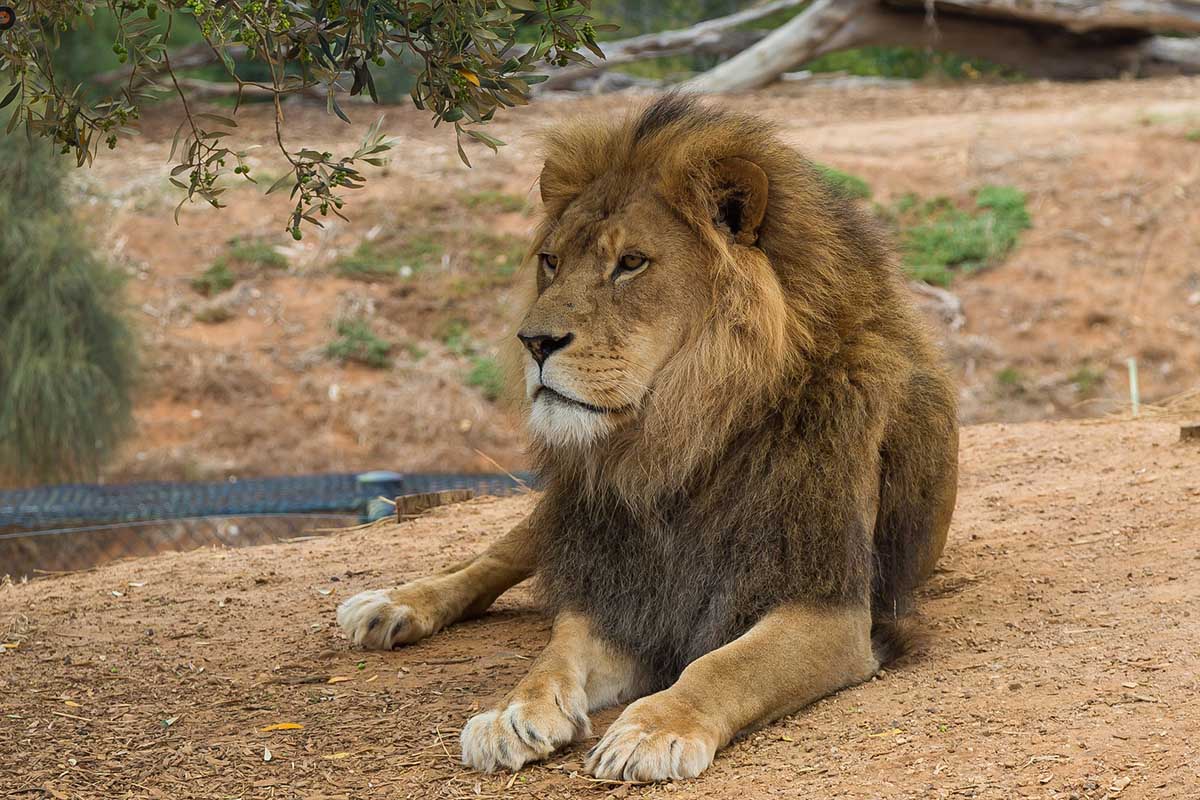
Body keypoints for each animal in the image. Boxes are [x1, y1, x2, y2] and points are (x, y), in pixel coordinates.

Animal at [338, 94, 955, 782]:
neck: (677, 444)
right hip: (564, 516)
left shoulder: (830, 607)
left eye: (630, 263)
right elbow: (554, 654)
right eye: (551, 262)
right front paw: (511, 714)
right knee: (494, 557)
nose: (534, 342)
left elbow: (722, 665)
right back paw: (391, 606)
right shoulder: (618, 587)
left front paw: (655, 728)